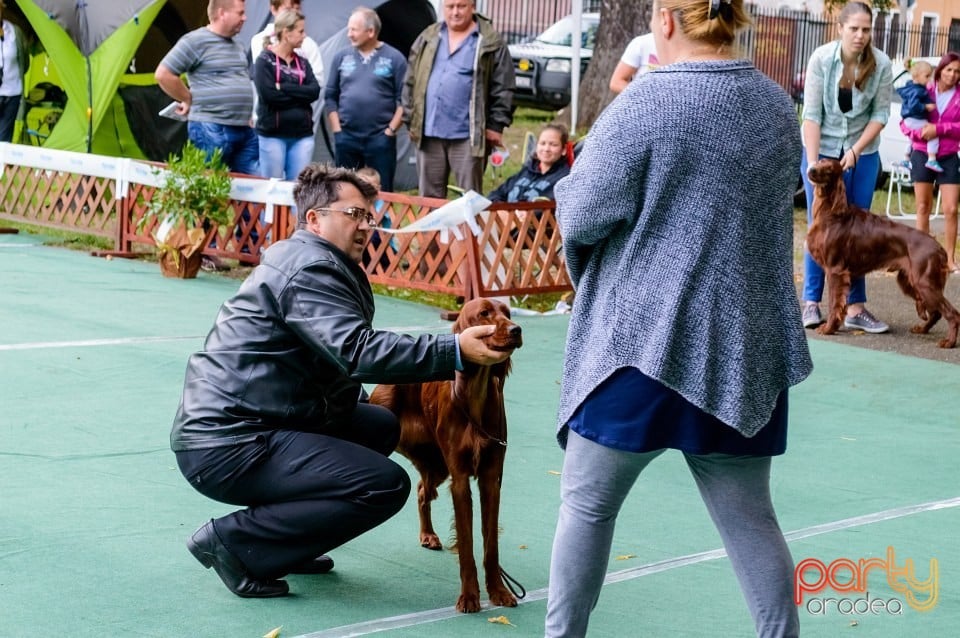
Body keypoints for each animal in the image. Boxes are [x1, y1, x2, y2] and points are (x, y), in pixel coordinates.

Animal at [372, 300, 524, 616]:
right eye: (484, 314)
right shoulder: (461, 478)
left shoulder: (490, 478)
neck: (475, 394)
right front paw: (469, 597)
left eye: (508, 313)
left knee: (422, 490)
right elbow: (466, 544)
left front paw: (499, 591)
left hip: (437, 464)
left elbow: (490, 545)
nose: (516, 330)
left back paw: (428, 535)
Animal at [808, 160, 956, 350]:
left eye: (829, 169)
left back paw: (949, 342)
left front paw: (828, 329)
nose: (811, 169)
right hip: (911, 281)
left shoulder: (835, 271)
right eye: (819, 161)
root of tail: (939, 247)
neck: (830, 212)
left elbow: (834, 303)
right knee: (937, 312)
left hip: (924, 283)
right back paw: (923, 329)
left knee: (952, 313)